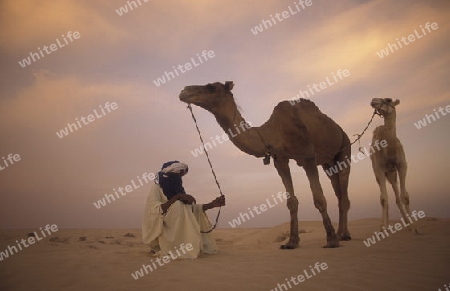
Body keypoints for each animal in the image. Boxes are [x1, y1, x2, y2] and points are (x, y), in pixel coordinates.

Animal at [179, 81, 352, 250]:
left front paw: (331, 240)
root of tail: (340, 129)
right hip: (328, 163)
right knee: (337, 190)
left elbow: (319, 198)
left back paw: (344, 235)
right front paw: (291, 242)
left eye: (212, 87)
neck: (273, 132)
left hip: (345, 147)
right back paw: (340, 232)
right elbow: (292, 202)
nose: (184, 90)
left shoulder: (308, 157)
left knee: (344, 193)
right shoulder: (280, 161)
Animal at [370, 98, 420, 235]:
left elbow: (405, 197)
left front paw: (414, 228)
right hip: (379, 174)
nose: (373, 100)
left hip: (392, 173)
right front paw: (382, 228)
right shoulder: (380, 169)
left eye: (388, 100)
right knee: (385, 197)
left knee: (397, 197)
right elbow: (383, 199)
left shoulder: (402, 165)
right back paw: (385, 227)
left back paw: (407, 225)